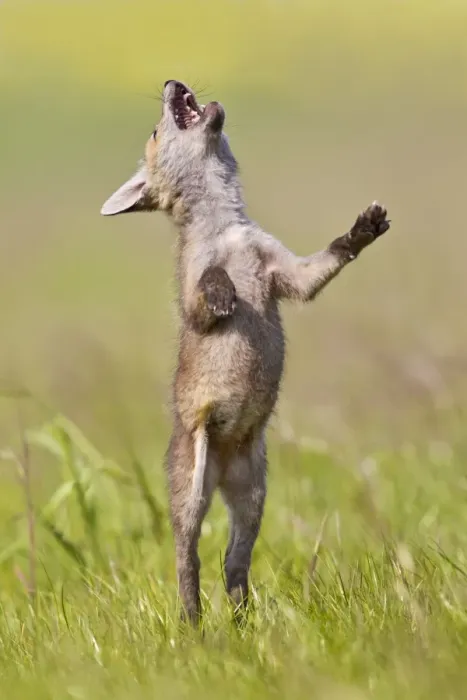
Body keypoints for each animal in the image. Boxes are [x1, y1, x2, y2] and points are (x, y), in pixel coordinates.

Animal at [101, 79, 390, 624]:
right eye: (155, 131)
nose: (171, 82)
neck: (228, 233)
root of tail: (223, 464)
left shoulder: (289, 274)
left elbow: (328, 259)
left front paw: (364, 229)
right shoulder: (191, 299)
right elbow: (205, 292)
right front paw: (223, 291)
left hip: (253, 497)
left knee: (233, 563)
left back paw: (241, 621)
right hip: (191, 490)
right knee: (187, 559)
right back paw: (194, 624)